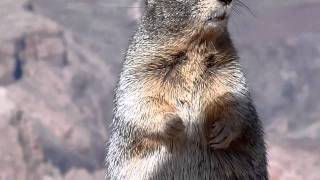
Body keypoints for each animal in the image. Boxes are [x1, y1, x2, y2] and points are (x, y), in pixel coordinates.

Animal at [107, 0, 268, 179]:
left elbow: (235, 96)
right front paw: (175, 124)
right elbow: (137, 101)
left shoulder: (228, 67)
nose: (227, 1)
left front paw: (223, 130)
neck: (196, 46)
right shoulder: (140, 67)